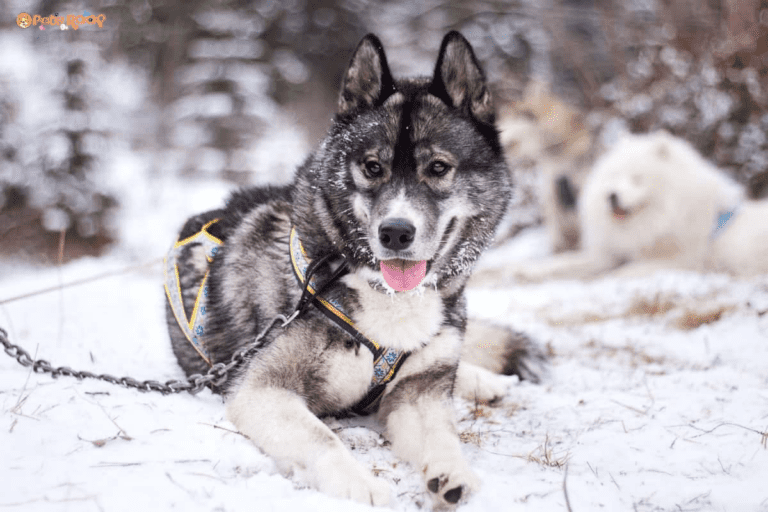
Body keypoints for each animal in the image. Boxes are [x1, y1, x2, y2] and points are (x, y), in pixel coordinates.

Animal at [166, 33, 540, 508]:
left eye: (438, 167)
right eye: (372, 166)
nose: (395, 232)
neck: (384, 294)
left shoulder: (417, 395)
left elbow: (441, 433)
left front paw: (452, 471)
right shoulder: (262, 390)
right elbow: (322, 437)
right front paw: (359, 484)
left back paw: (481, 379)